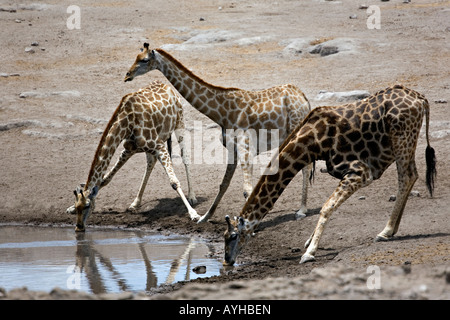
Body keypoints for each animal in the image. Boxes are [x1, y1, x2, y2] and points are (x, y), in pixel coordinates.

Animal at [68, 79, 199, 230]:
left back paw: (192, 197)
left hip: (179, 122)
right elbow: (105, 179)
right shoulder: (129, 149)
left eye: (87, 206)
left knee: (185, 157)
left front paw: (194, 214)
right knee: (150, 163)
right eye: (78, 206)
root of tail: (168, 86)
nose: (79, 227)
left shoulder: (159, 146)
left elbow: (174, 182)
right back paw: (135, 202)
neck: (127, 121)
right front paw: (70, 208)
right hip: (150, 145)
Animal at [123, 42, 312, 222]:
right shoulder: (233, 150)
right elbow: (224, 185)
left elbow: (247, 189)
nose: (127, 75)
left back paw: (302, 210)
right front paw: (205, 217)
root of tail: (304, 98)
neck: (222, 112)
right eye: (136, 57)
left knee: (306, 167)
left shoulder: (245, 148)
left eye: (144, 60)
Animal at [224, 84, 436, 264]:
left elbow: (326, 207)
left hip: (403, 140)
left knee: (407, 177)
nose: (227, 261)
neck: (313, 143)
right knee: (411, 175)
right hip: (404, 144)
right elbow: (327, 205)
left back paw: (385, 231)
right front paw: (309, 242)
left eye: (233, 236)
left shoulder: (359, 171)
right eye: (224, 237)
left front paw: (309, 253)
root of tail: (421, 99)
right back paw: (392, 230)